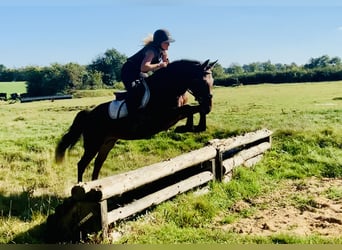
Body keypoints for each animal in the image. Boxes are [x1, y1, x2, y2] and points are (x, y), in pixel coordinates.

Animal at [56, 59, 216, 183]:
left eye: (212, 81)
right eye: (200, 81)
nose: (209, 105)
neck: (166, 87)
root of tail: (89, 115)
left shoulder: (174, 115)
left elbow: (195, 109)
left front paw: (194, 126)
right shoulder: (165, 116)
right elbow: (190, 109)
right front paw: (188, 127)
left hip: (107, 142)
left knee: (98, 163)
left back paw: (95, 184)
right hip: (93, 144)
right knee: (82, 164)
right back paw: (81, 187)